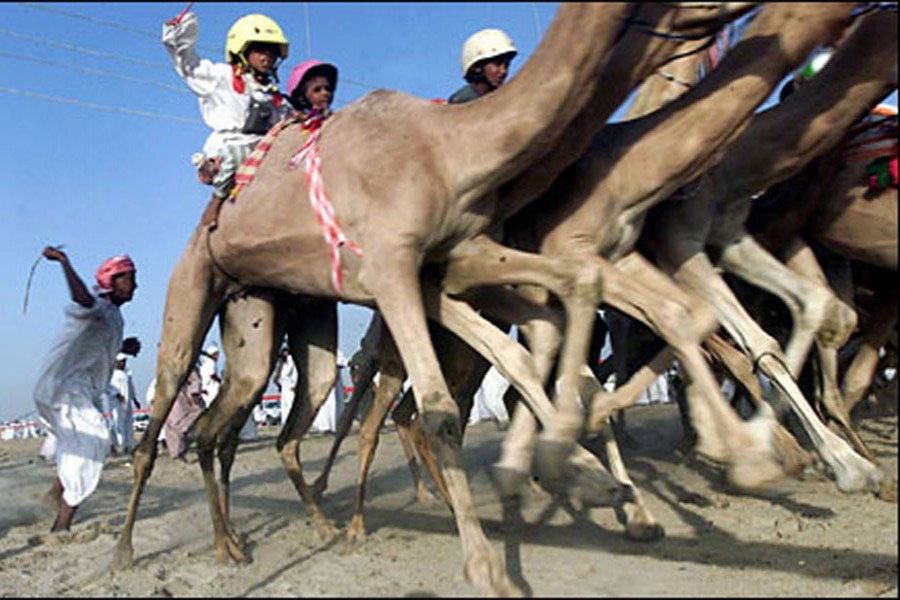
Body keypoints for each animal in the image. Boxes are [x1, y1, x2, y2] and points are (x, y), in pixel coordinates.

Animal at [116, 5, 760, 594]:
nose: (733, 21)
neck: (447, 149)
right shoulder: (395, 266)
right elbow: (443, 408)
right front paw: (490, 566)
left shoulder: (447, 267)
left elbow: (545, 339)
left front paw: (594, 479)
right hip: (194, 287)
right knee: (171, 409)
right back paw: (138, 548)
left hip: (268, 309)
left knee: (257, 412)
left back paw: (262, 535)